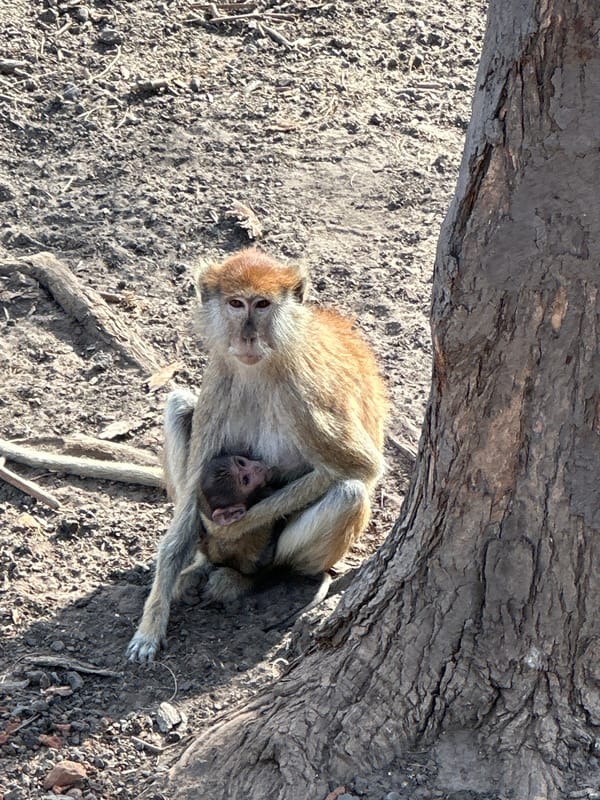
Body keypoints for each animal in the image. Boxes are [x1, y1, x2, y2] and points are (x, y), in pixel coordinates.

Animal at [126, 247, 388, 663]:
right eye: (236, 304)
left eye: (262, 304)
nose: (248, 337)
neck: (263, 365)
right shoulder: (220, 377)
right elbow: (188, 508)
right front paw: (151, 624)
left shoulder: (303, 391)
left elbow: (360, 466)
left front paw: (227, 529)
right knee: (179, 404)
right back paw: (202, 565)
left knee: (350, 492)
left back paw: (252, 577)